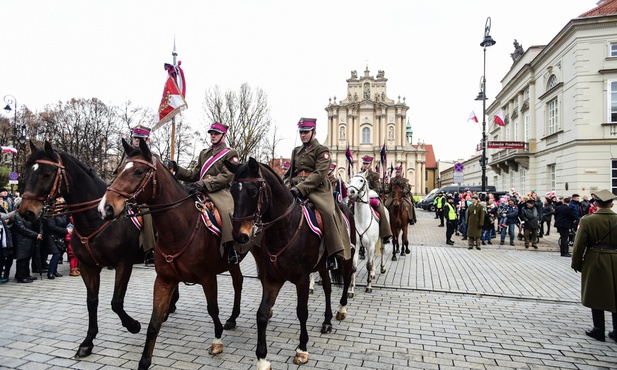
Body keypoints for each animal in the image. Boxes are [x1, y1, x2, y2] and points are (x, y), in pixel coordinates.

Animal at [19, 141, 178, 358]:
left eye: (47, 173)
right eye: (27, 171)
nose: (25, 212)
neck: (95, 220)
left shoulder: (123, 264)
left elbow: (116, 302)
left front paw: (133, 325)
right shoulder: (88, 267)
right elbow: (92, 301)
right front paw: (88, 341)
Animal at [100, 139, 247, 370]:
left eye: (139, 171)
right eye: (119, 169)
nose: (105, 208)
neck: (180, 228)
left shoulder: (208, 278)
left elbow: (212, 309)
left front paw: (217, 340)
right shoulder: (164, 279)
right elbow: (154, 324)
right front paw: (144, 361)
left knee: (240, 284)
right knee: (239, 281)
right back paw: (232, 318)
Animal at [225, 158, 356, 368]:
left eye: (252, 191)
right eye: (231, 191)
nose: (239, 235)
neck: (284, 228)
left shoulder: (301, 278)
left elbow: (302, 312)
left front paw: (302, 349)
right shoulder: (272, 278)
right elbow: (262, 314)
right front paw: (262, 358)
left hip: (346, 256)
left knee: (346, 277)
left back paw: (341, 310)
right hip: (322, 265)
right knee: (328, 288)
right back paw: (327, 321)